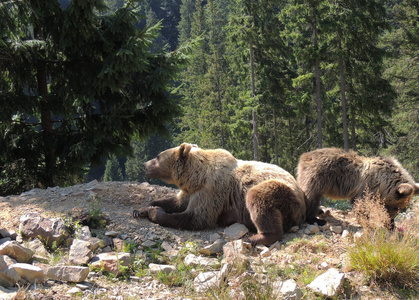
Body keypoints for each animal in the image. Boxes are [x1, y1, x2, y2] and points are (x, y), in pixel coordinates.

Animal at [135, 144, 308, 246]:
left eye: (158, 156)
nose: (144, 164)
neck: (196, 177)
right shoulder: (190, 192)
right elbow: (175, 202)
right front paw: (142, 209)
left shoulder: (211, 190)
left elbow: (196, 217)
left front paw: (154, 212)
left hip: (284, 194)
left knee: (258, 198)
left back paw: (257, 237)